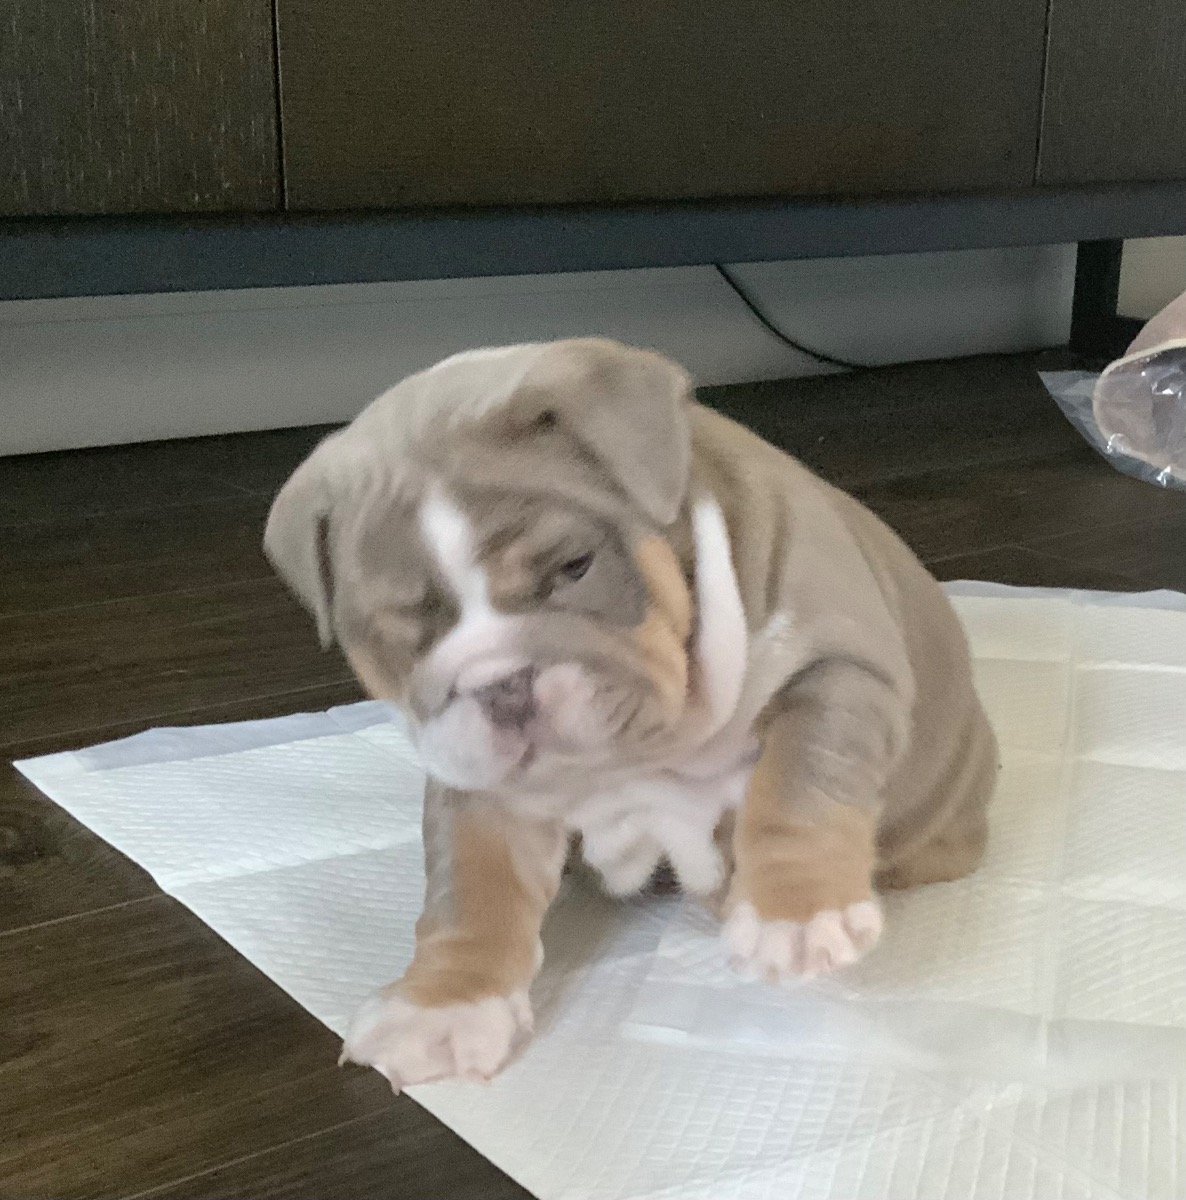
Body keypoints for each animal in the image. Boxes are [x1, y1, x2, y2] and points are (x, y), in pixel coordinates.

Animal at [265, 338, 997, 1089]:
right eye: (398, 629)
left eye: (575, 565)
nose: (501, 684)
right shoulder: (482, 783)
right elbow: (474, 885)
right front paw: (443, 1007)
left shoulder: (834, 669)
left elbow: (801, 784)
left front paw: (794, 917)